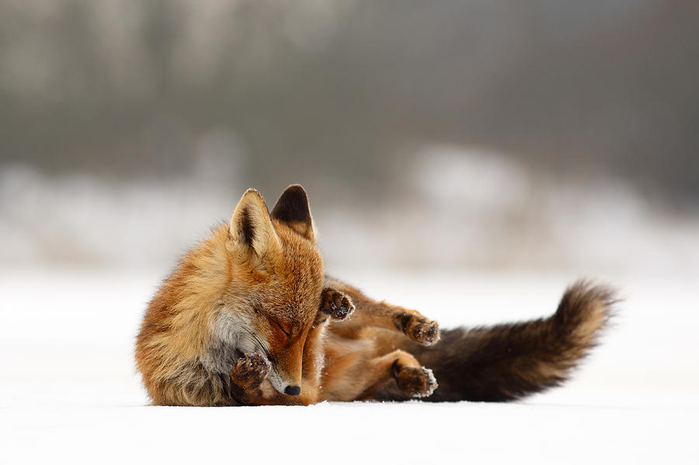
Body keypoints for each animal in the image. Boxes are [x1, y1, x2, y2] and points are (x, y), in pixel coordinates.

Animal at [134, 183, 616, 404]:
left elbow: (316, 342)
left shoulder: (307, 383)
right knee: (387, 358)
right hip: (344, 386)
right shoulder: (295, 395)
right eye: (282, 328)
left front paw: (325, 308)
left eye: (295, 330)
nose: (290, 386)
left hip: (353, 336)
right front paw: (247, 379)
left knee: (377, 315)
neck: (213, 349)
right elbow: (250, 391)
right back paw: (408, 373)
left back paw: (398, 323)